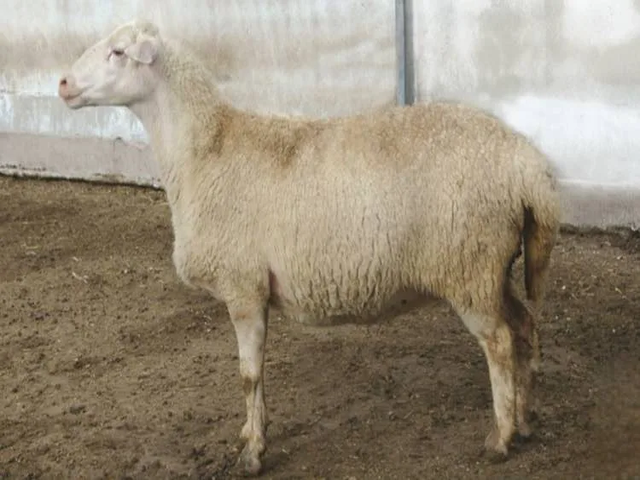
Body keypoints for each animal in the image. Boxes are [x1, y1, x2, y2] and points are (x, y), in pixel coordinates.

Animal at [58, 20, 561, 476]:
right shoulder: (254, 289)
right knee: (524, 326)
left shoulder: (242, 286)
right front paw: (252, 432)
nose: (62, 83)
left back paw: (500, 438)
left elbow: (248, 375)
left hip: (468, 266)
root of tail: (526, 165)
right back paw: (526, 420)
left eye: (118, 52)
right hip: (494, 267)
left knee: (498, 342)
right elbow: (256, 373)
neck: (205, 151)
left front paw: (253, 454)